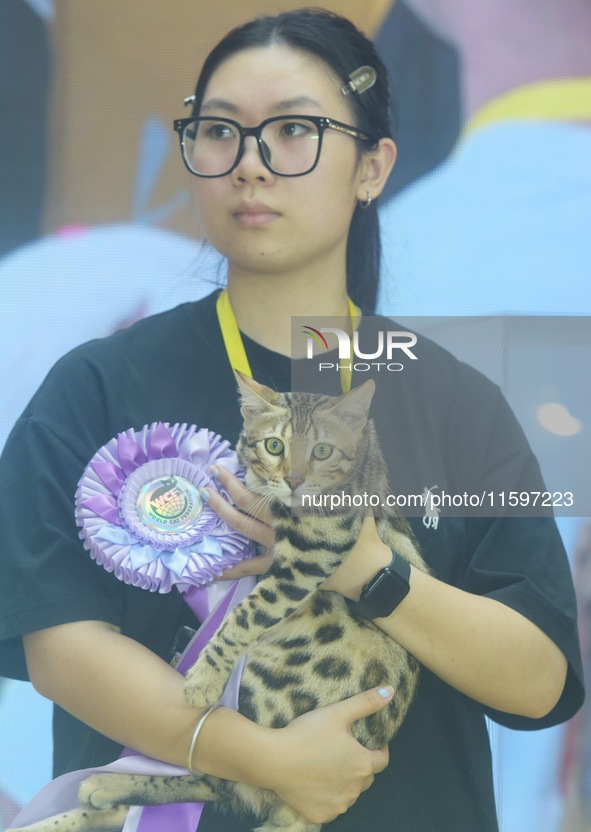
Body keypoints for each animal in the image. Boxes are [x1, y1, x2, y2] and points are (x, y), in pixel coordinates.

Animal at [13, 376, 428, 832]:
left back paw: (105, 785)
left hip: (262, 691)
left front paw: (205, 677)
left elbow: (246, 613)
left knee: (216, 777)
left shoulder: (314, 553)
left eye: (322, 450)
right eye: (275, 445)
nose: (294, 480)